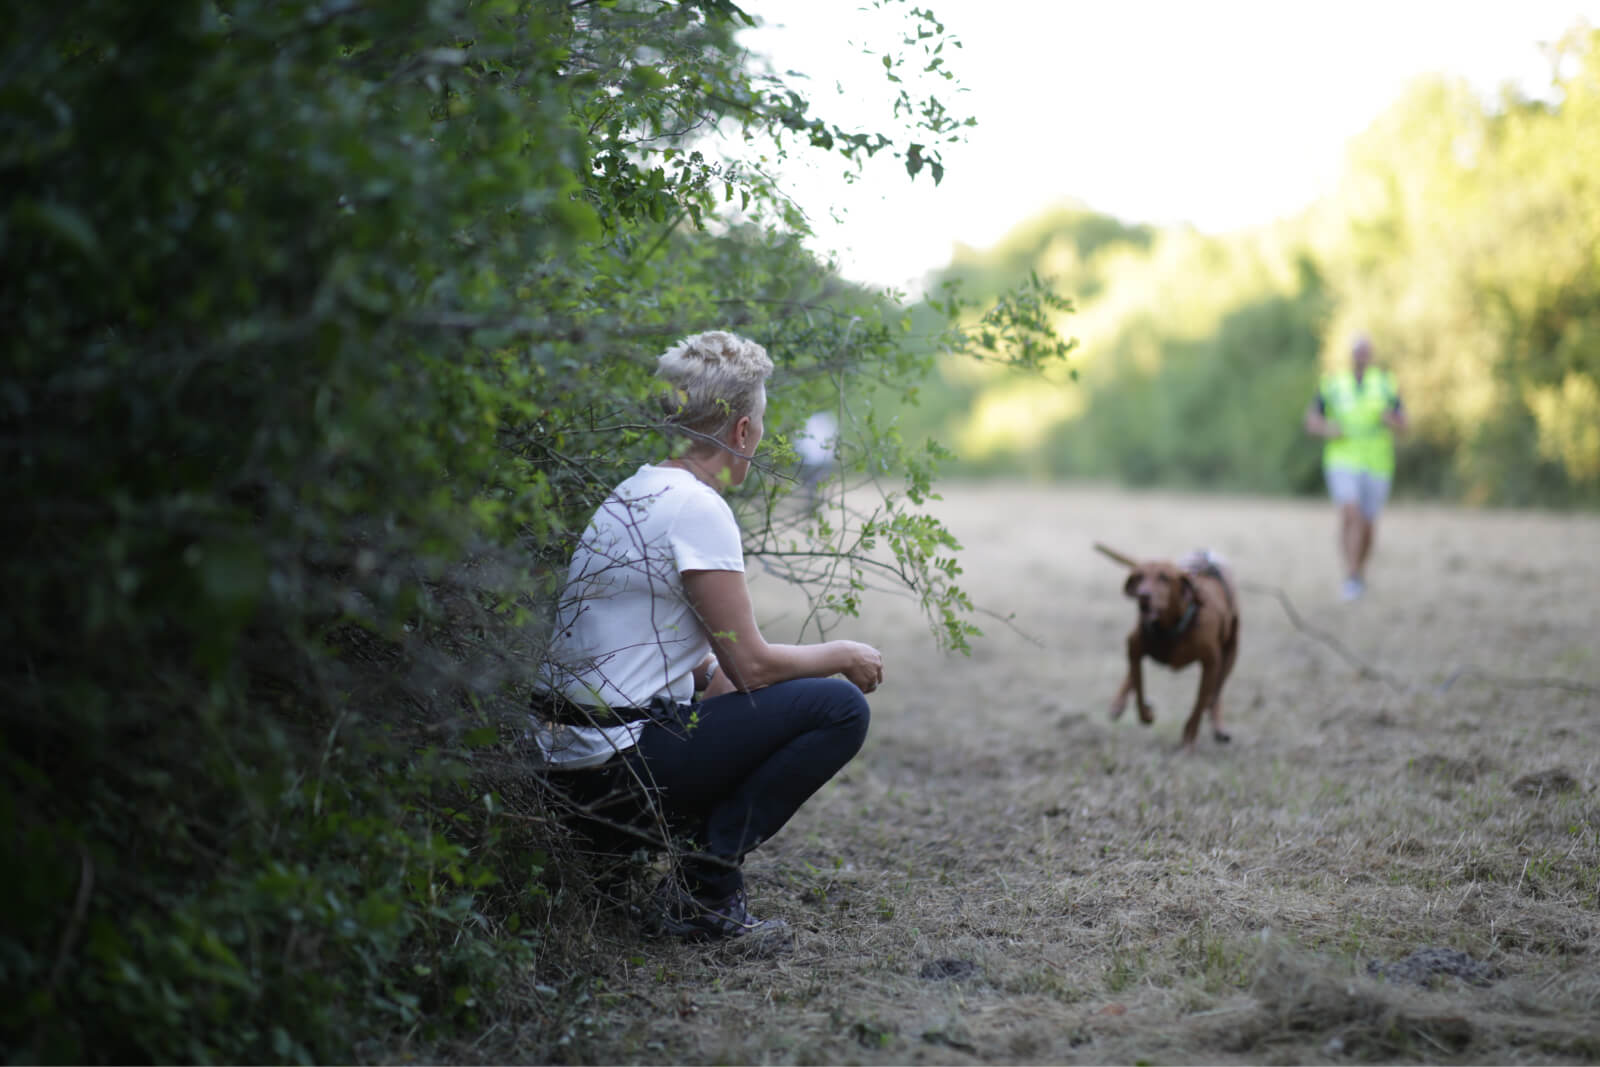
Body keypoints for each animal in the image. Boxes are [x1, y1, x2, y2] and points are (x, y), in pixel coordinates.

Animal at [1100, 545, 1241, 751]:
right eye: (1140, 577)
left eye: (1164, 578)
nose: (1143, 596)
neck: (1171, 626)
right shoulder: (1133, 647)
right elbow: (1139, 687)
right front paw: (1147, 714)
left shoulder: (1212, 663)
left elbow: (1200, 702)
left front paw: (1189, 738)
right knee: (1132, 676)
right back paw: (1118, 704)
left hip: (1231, 651)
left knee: (1216, 692)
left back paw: (1218, 725)